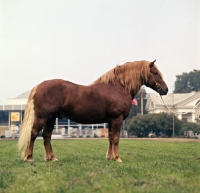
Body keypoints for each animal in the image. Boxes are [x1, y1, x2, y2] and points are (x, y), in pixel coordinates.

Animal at [17, 59, 168, 162]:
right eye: (155, 73)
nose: (165, 90)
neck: (117, 87)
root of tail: (39, 86)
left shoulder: (110, 121)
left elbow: (110, 138)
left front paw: (110, 157)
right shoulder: (117, 119)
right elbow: (116, 138)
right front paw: (117, 158)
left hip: (51, 118)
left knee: (46, 136)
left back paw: (52, 158)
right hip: (43, 117)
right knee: (34, 133)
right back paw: (29, 157)